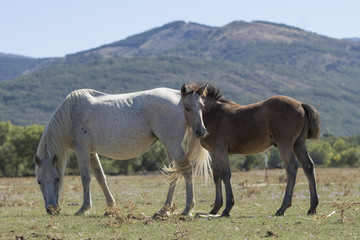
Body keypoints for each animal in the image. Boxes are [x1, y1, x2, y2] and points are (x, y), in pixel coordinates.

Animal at [33, 87, 211, 216]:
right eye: (39, 182)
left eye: (57, 179)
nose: (51, 210)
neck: (71, 114)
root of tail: (179, 96)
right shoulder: (91, 153)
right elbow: (101, 178)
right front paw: (111, 207)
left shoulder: (82, 150)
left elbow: (85, 179)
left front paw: (84, 208)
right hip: (169, 145)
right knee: (174, 173)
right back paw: (164, 209)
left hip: (172, 144)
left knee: (187, 170)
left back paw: (187, 209)